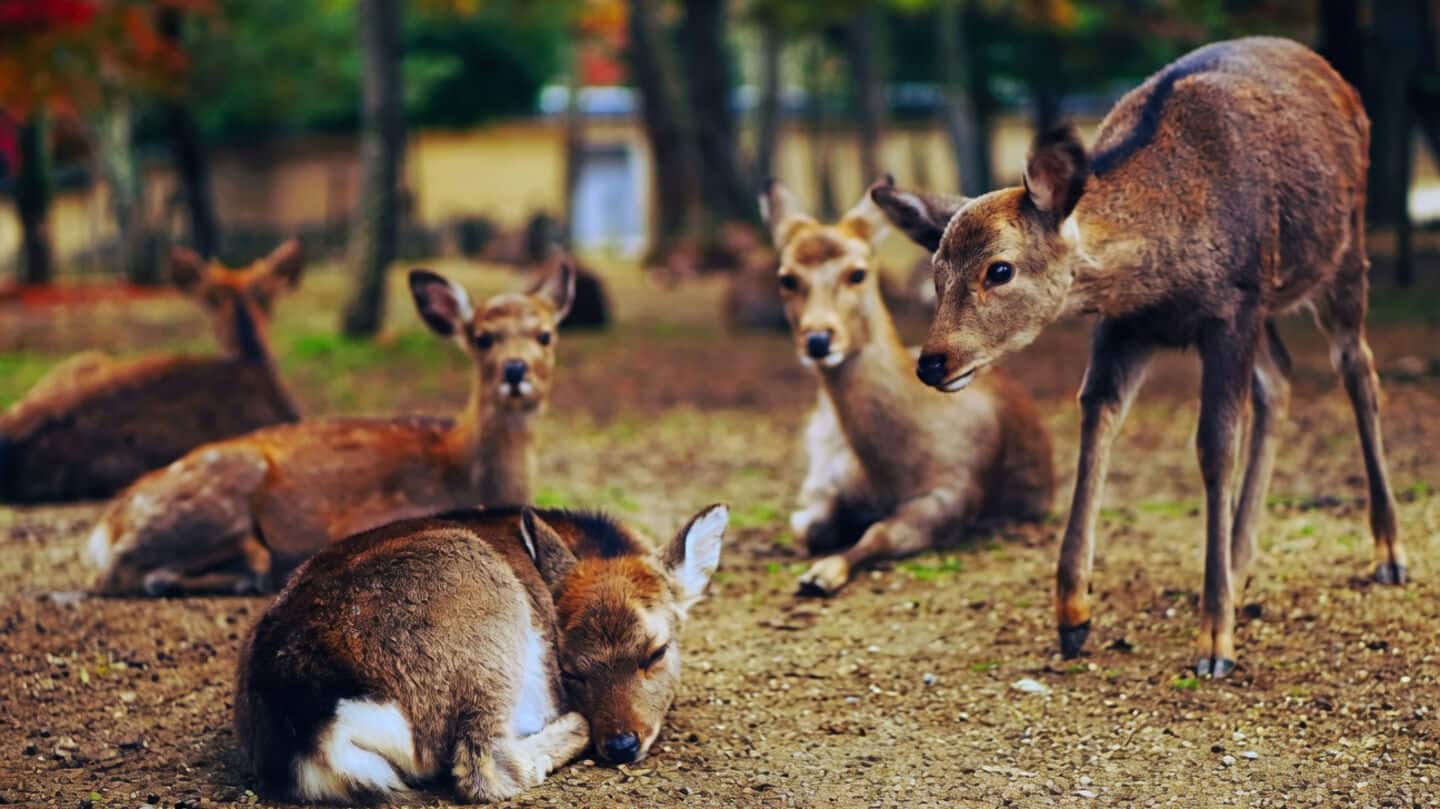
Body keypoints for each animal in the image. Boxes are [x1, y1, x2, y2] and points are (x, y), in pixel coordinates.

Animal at [88, 261, 576, 597]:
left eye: (546, 334)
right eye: (482, 337)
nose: (515, 370)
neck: (468, 474)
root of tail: (104, 529)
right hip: (213, 501)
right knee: (136, 572)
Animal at [234, 503, 728, 803]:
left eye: (656, 652)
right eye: (570, 671)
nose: (622, 744)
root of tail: (311, 727)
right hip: (486, 624)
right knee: (484, 766)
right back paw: (569, 728)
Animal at [760, 181, 1055, 597]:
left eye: (858, 273)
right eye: (786, 277)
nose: (818, 339)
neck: (891, 470)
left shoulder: (954, 494)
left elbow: (879, 533)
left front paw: (820, 574)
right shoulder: (829, 479)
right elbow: (809, 525)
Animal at [870, 37, 1404, 678]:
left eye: (999, 269)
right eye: (935, 272)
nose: (932, 361)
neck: (1162, 272)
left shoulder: (1232, 308)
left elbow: (1214, 447)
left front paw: (1214, 642)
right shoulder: (1128, 325)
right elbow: (1097, 418)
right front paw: (1073, 616)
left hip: (1343, 253)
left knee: (1357, 368)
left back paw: (1388, 554)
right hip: (1271, 306)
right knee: (1279, 377)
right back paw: (1241, 560)